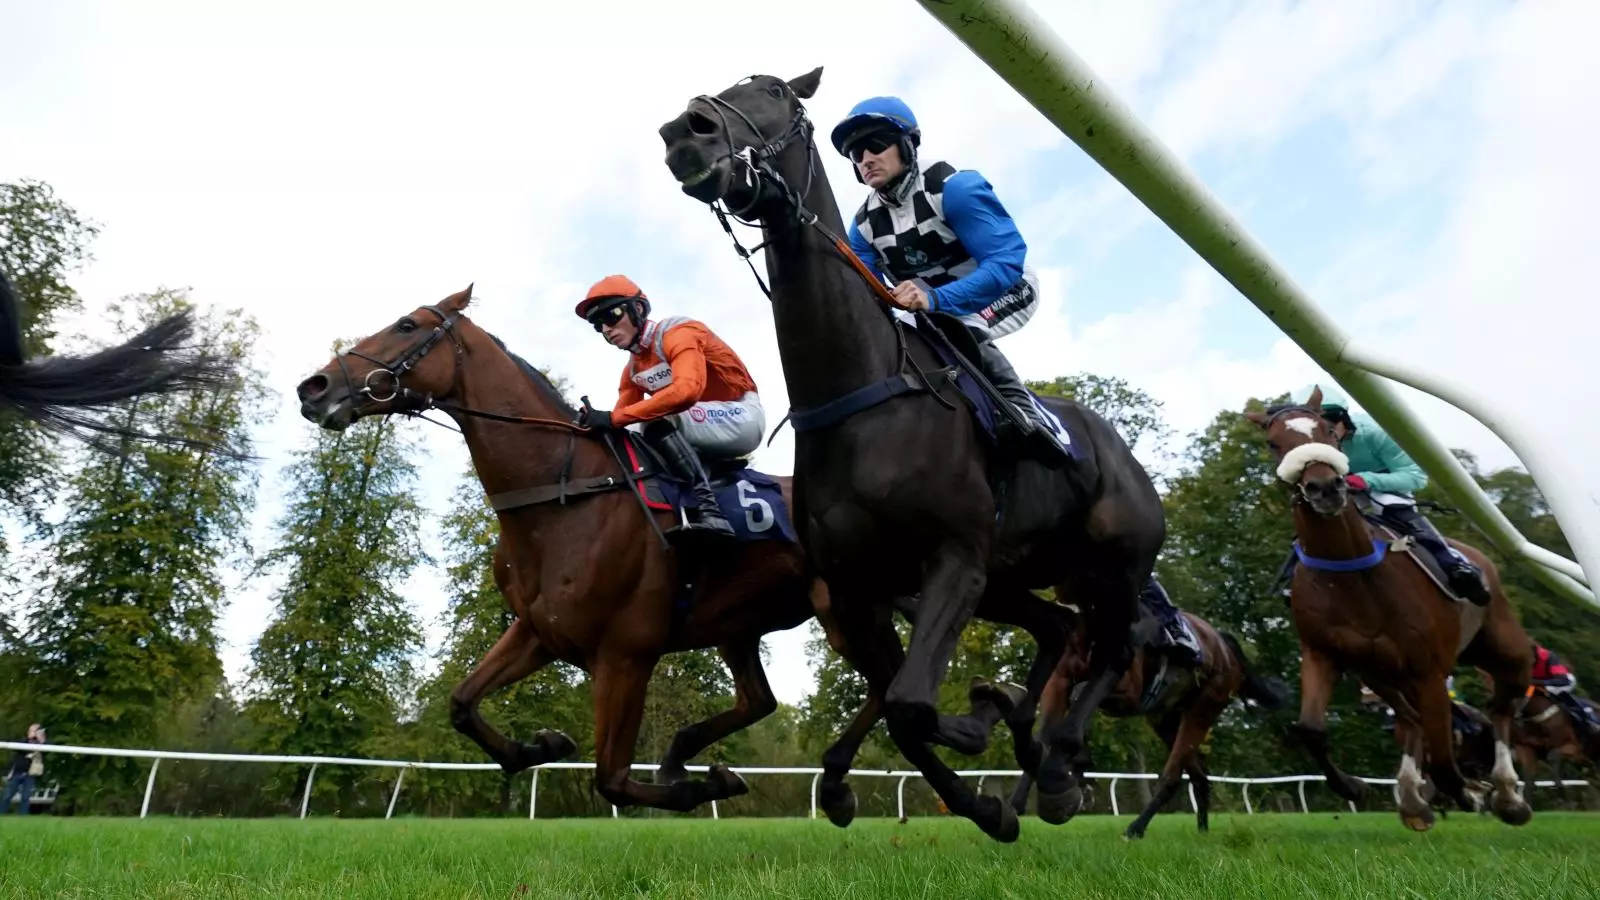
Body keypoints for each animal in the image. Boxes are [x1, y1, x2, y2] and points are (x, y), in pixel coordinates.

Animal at [296, 288, 832, 813]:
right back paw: (681, 754)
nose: (314, 387)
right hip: (736, 627)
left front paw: (700, 787)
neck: (564, 494)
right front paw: (542, 746)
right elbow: (462, 703)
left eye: (406, 325)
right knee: (759, 701)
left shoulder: (626, 653)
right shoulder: (539, 630)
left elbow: (611, 779)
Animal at [656, 66, 1171, 839]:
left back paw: (1057, 762)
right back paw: (1038, 752)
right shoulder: (858, 588)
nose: (685, 132)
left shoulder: (954, 558)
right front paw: (986, 795)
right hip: (1013, 576)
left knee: (1117, 639)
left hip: (1113, 563)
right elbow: (903, 712)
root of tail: (1121, 448)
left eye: (774, 91)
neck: (861, 395)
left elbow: (911, 703)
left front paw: (987, 720)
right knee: (1060, 627)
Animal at [972, 605, 1286, 839]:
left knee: (1173, 775)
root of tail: (1223, 643)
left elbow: (1075, 708)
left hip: (1204, 706)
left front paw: (1077, 772)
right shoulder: (1059, 680)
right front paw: (1018, 803)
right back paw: (1201, 830)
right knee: (1198, 773)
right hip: (1164, 718)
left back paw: (1135, 828)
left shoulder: (1127, 688)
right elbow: (1046, 734)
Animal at [1248, 389, 1536, 832]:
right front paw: (1353, 787)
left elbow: (1444, 758)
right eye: (1273, 442)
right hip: (1380, 675)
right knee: (1411, 719)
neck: (1351, 575)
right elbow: (1311, 728)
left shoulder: (1430, 671)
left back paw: (1507, 795)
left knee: (1502, 710)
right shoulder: (1322, 653)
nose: (1325, 487)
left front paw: (1471, 791)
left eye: (1326, 430)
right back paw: (1415, 801)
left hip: (1506, 648)